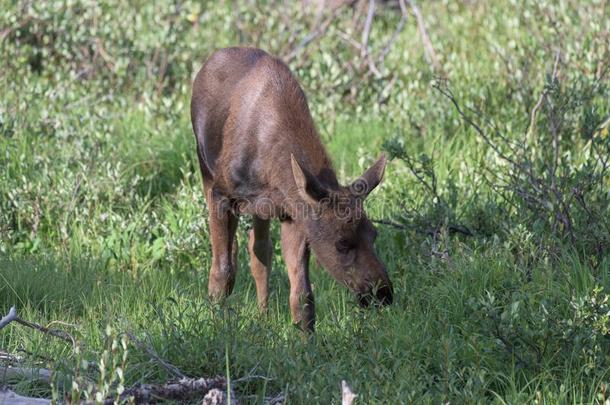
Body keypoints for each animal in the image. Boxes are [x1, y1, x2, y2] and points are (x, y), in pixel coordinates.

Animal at [188, 48, 392, 332]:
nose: (383, 294)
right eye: (341, 243)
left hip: (260, 208)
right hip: (206, 172)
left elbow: (302, 295)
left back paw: (263, 315)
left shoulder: (293, 215)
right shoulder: (222, 194)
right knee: (233, 252)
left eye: (373, 234)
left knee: (258, 249)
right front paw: (216, 327)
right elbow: (222, 271)